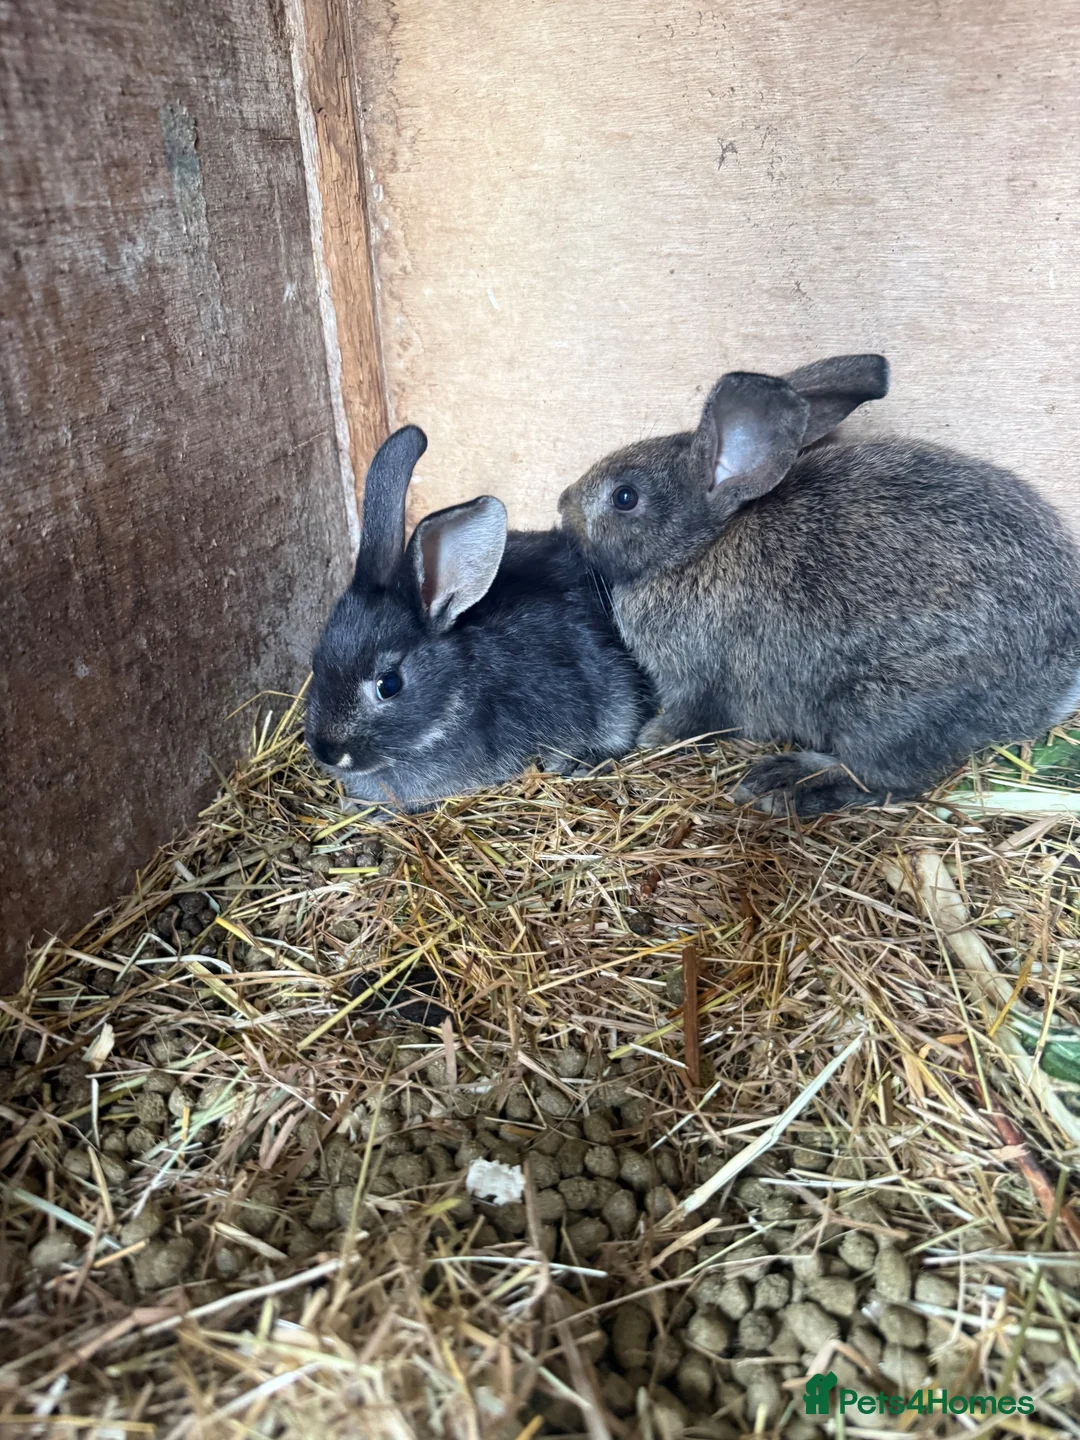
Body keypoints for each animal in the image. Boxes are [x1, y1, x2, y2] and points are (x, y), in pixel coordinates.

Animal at [557, 354, 1080, 816]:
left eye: (625, 497)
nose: (563, 502)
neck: (699, 545)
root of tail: (1053, 687)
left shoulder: (698, 678)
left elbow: (692, 719)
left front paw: (652, 737)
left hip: (884, 708)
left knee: (886, 781)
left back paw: (785, 782)